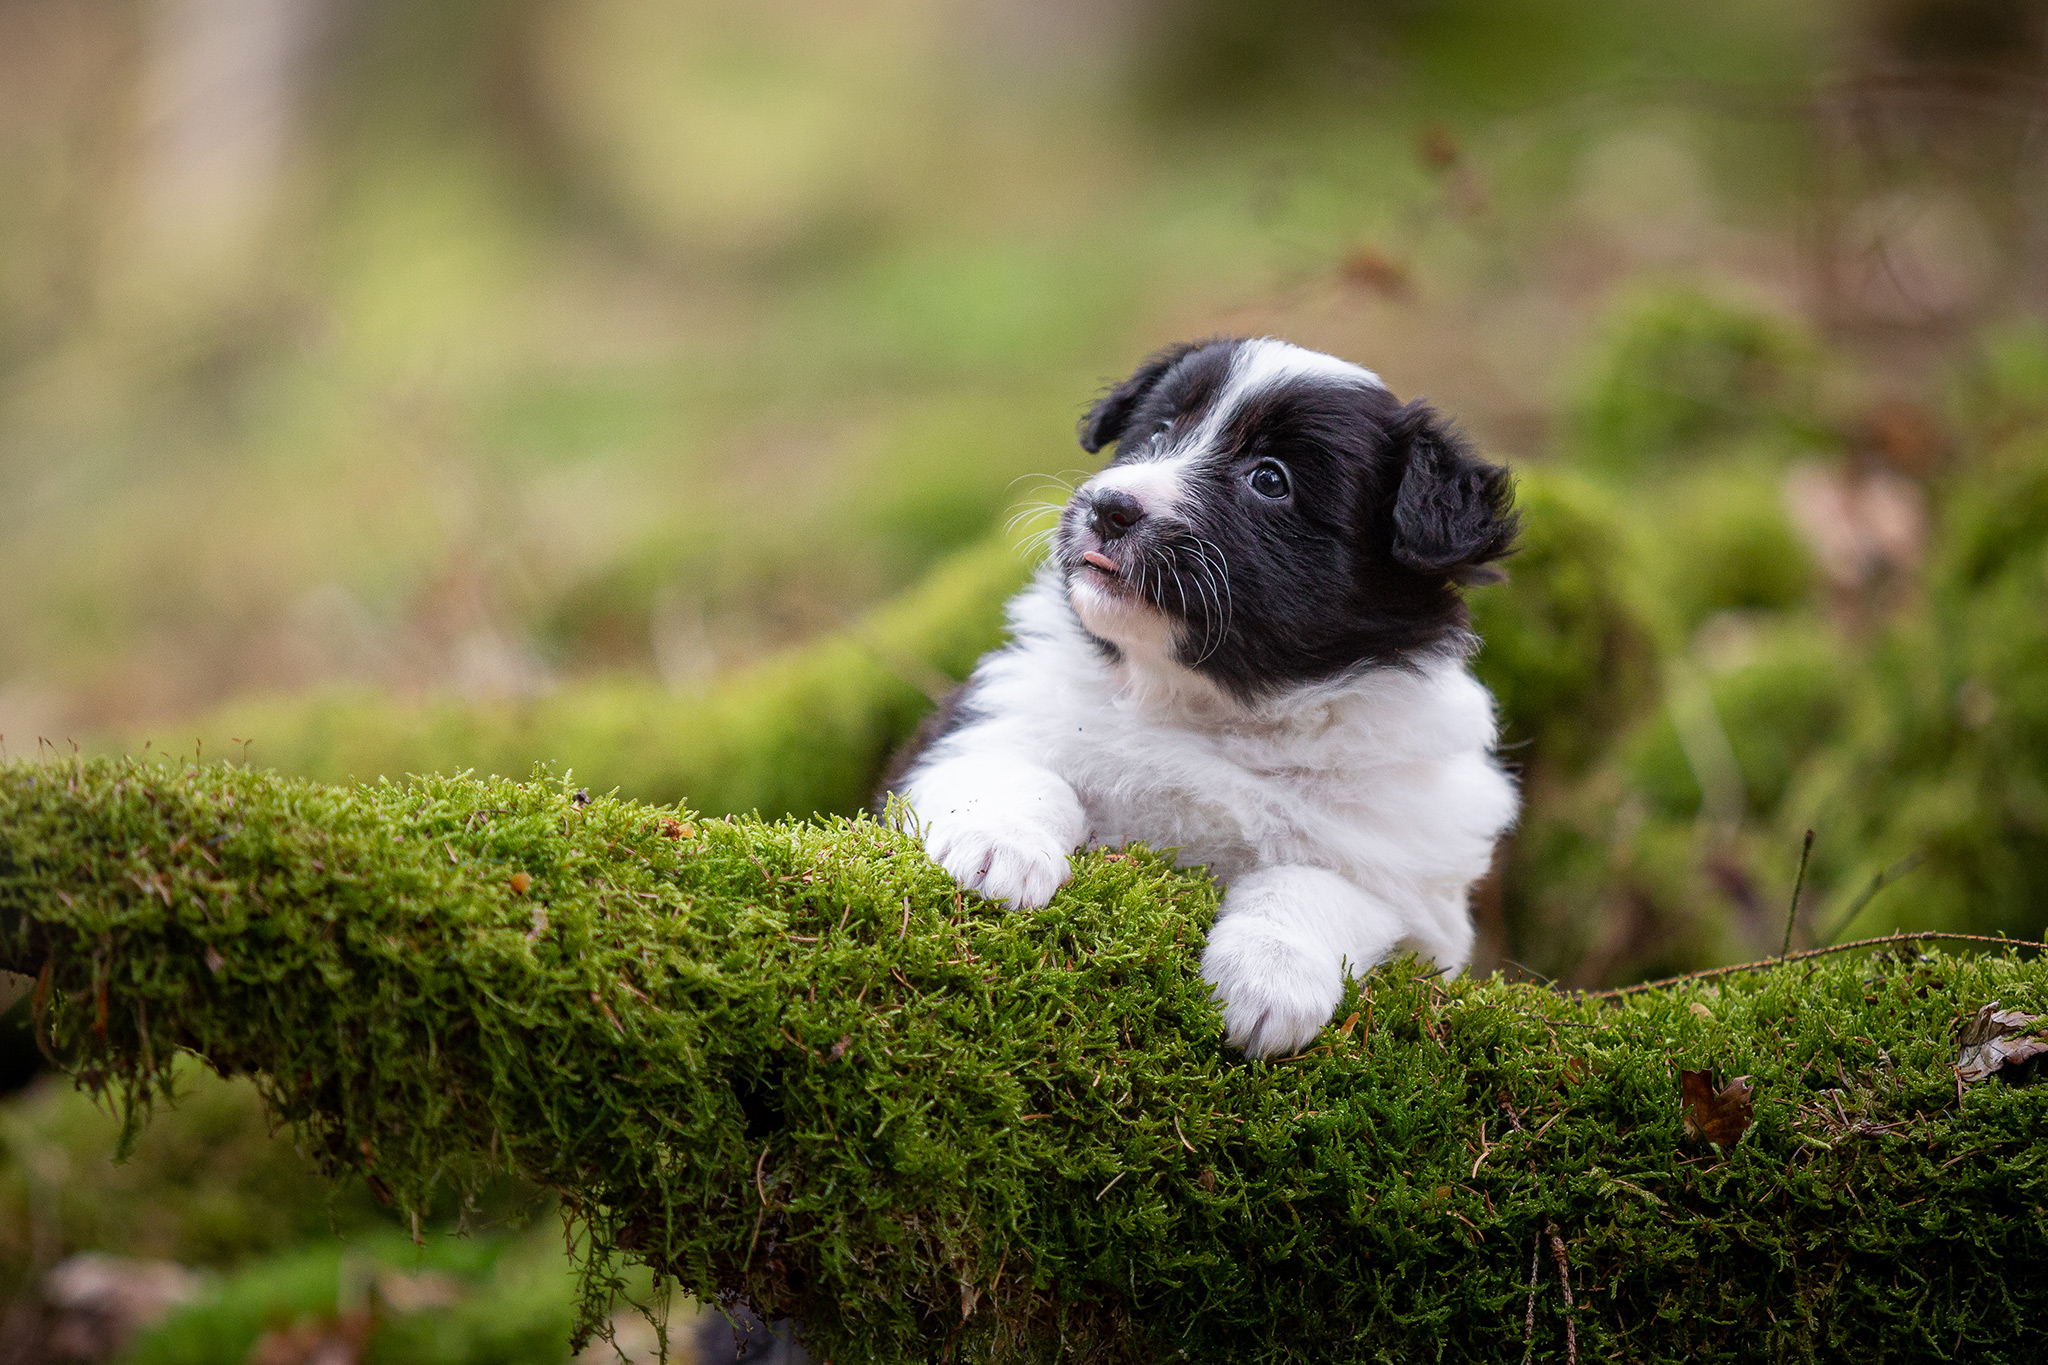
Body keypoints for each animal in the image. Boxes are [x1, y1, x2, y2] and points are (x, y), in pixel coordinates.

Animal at [884, 339, 1523, 1055]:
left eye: (1270, 479)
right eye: (1158, 432)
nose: (1108, 506)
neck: (1204, 707)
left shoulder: (1411, 883)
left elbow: (1313, 884)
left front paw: (1268, 980)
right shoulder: (975, 728)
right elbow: (1017, 775)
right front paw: (1002, 846)